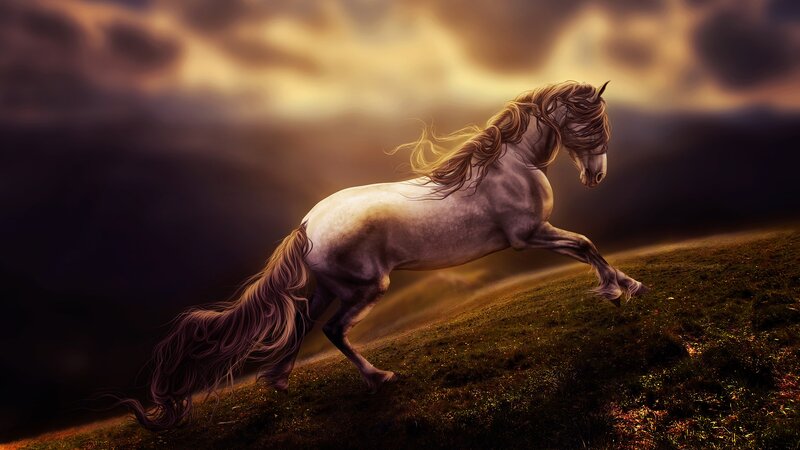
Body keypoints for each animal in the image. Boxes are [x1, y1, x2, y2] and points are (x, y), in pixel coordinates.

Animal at [123, 80, 646, 430]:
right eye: (589, 124)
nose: (596, 175)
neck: (509, 166)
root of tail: (307, 226)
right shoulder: (530, 235)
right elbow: (585, 245)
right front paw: (619, 289)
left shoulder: (535, 235)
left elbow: (585, 246)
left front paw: (628, 286)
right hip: (366, 288)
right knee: (333, 331)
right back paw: (380, 378)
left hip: (328, 289)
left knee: (302, 325)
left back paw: (279, 382)